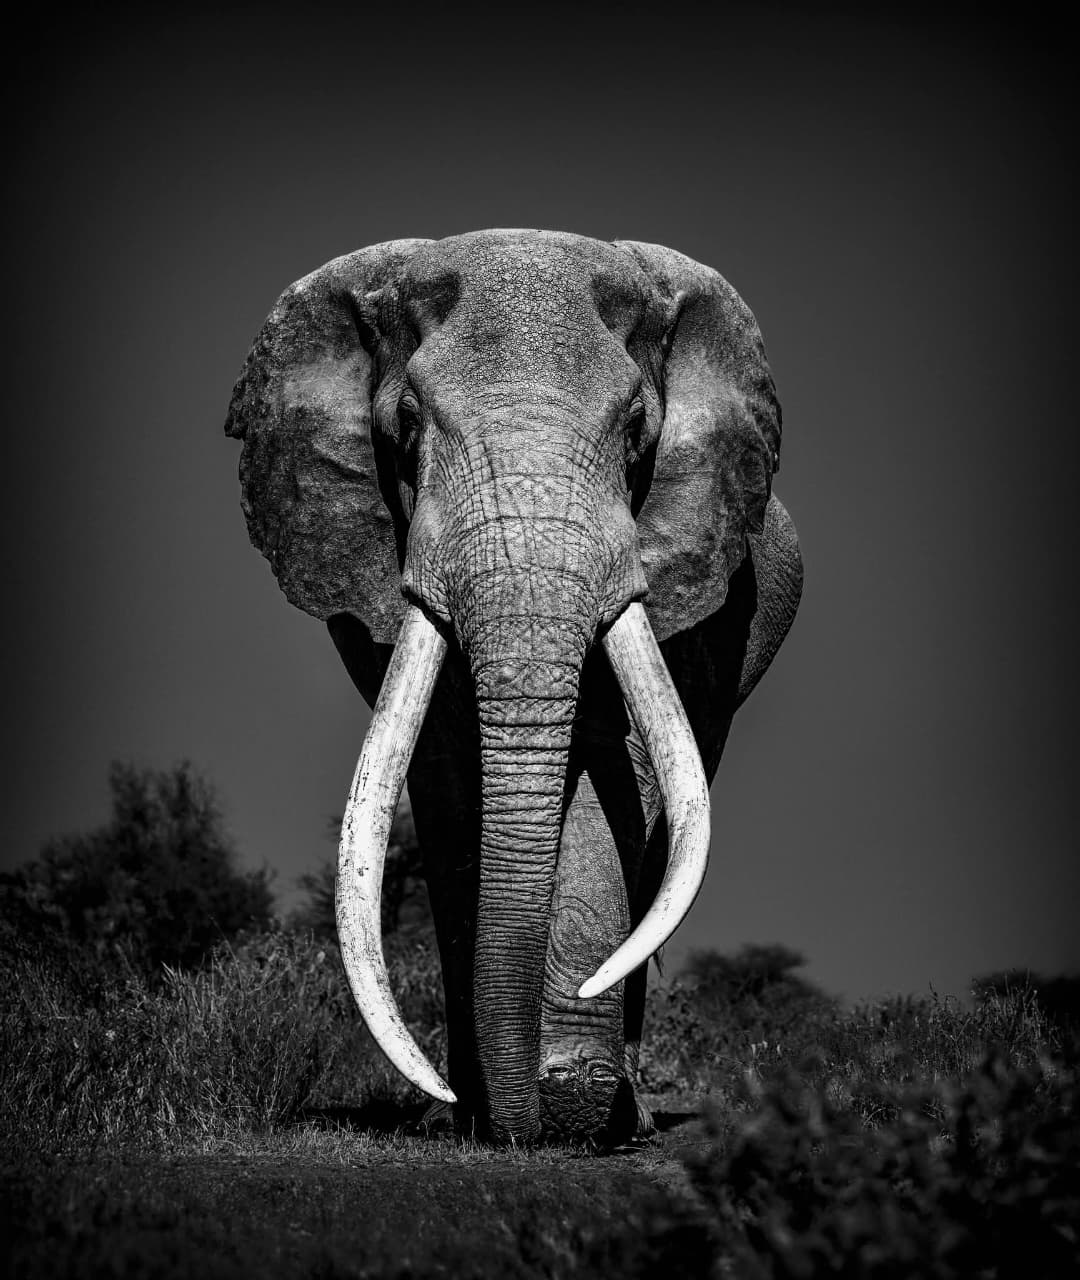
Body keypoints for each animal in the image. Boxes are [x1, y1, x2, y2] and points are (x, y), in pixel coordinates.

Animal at [224, 229, 801, 1146]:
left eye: (636, 430)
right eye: (407, 424)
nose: (520, 1120)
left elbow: (614, 772)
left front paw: (568, 1102)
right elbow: (446, 776)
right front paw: (484, 1111)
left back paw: (624, 1112)